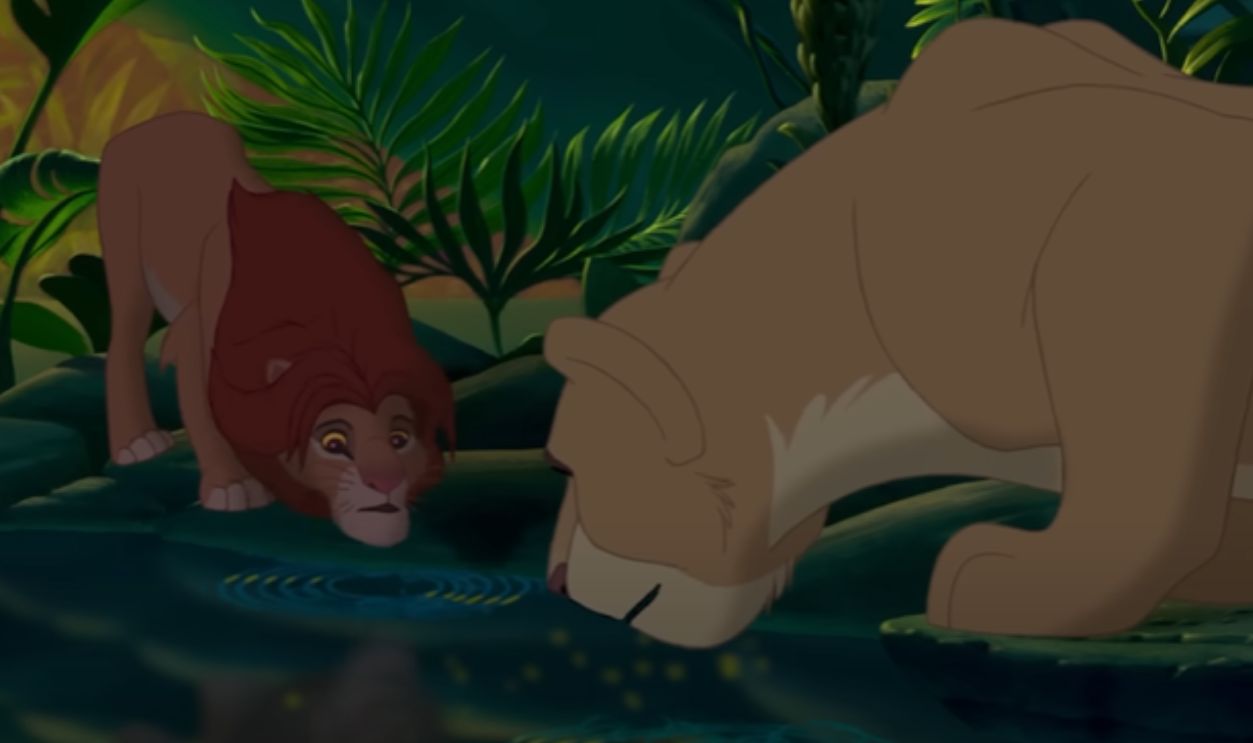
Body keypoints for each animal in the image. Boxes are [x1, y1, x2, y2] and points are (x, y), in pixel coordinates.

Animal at [98, 112, 455, 548]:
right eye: (334, 443)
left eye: (399, 439)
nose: (386, 482)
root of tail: (162, 120)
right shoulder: (199, 339)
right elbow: (204, 417)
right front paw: (231, 486)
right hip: (126, 261)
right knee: (122, 344)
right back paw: (137, 442)